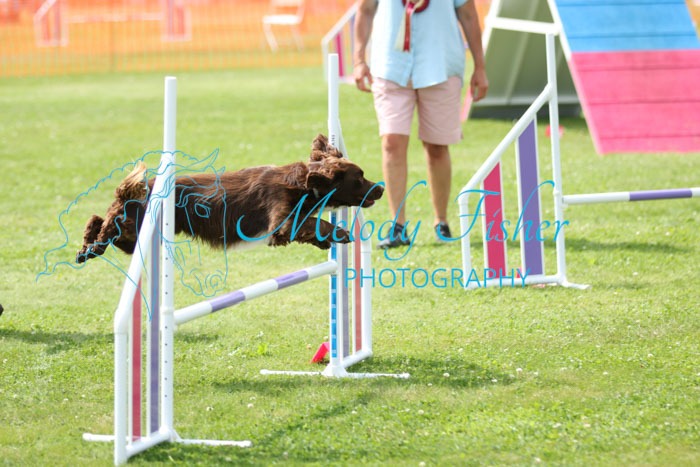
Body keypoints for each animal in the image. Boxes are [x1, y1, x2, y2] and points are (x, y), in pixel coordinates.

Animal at [76, 134, 383, 263]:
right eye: (359, 178)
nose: (380, 188)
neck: (303, 184)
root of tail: (127, 192)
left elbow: (310, 224)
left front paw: (325, 241)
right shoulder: (280, 221)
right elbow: (310, 223)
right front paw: (339, 233)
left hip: (136, 237)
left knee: (98, 218)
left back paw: (86, 249)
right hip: (138, 225)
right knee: (106, 224)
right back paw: (91, 248)